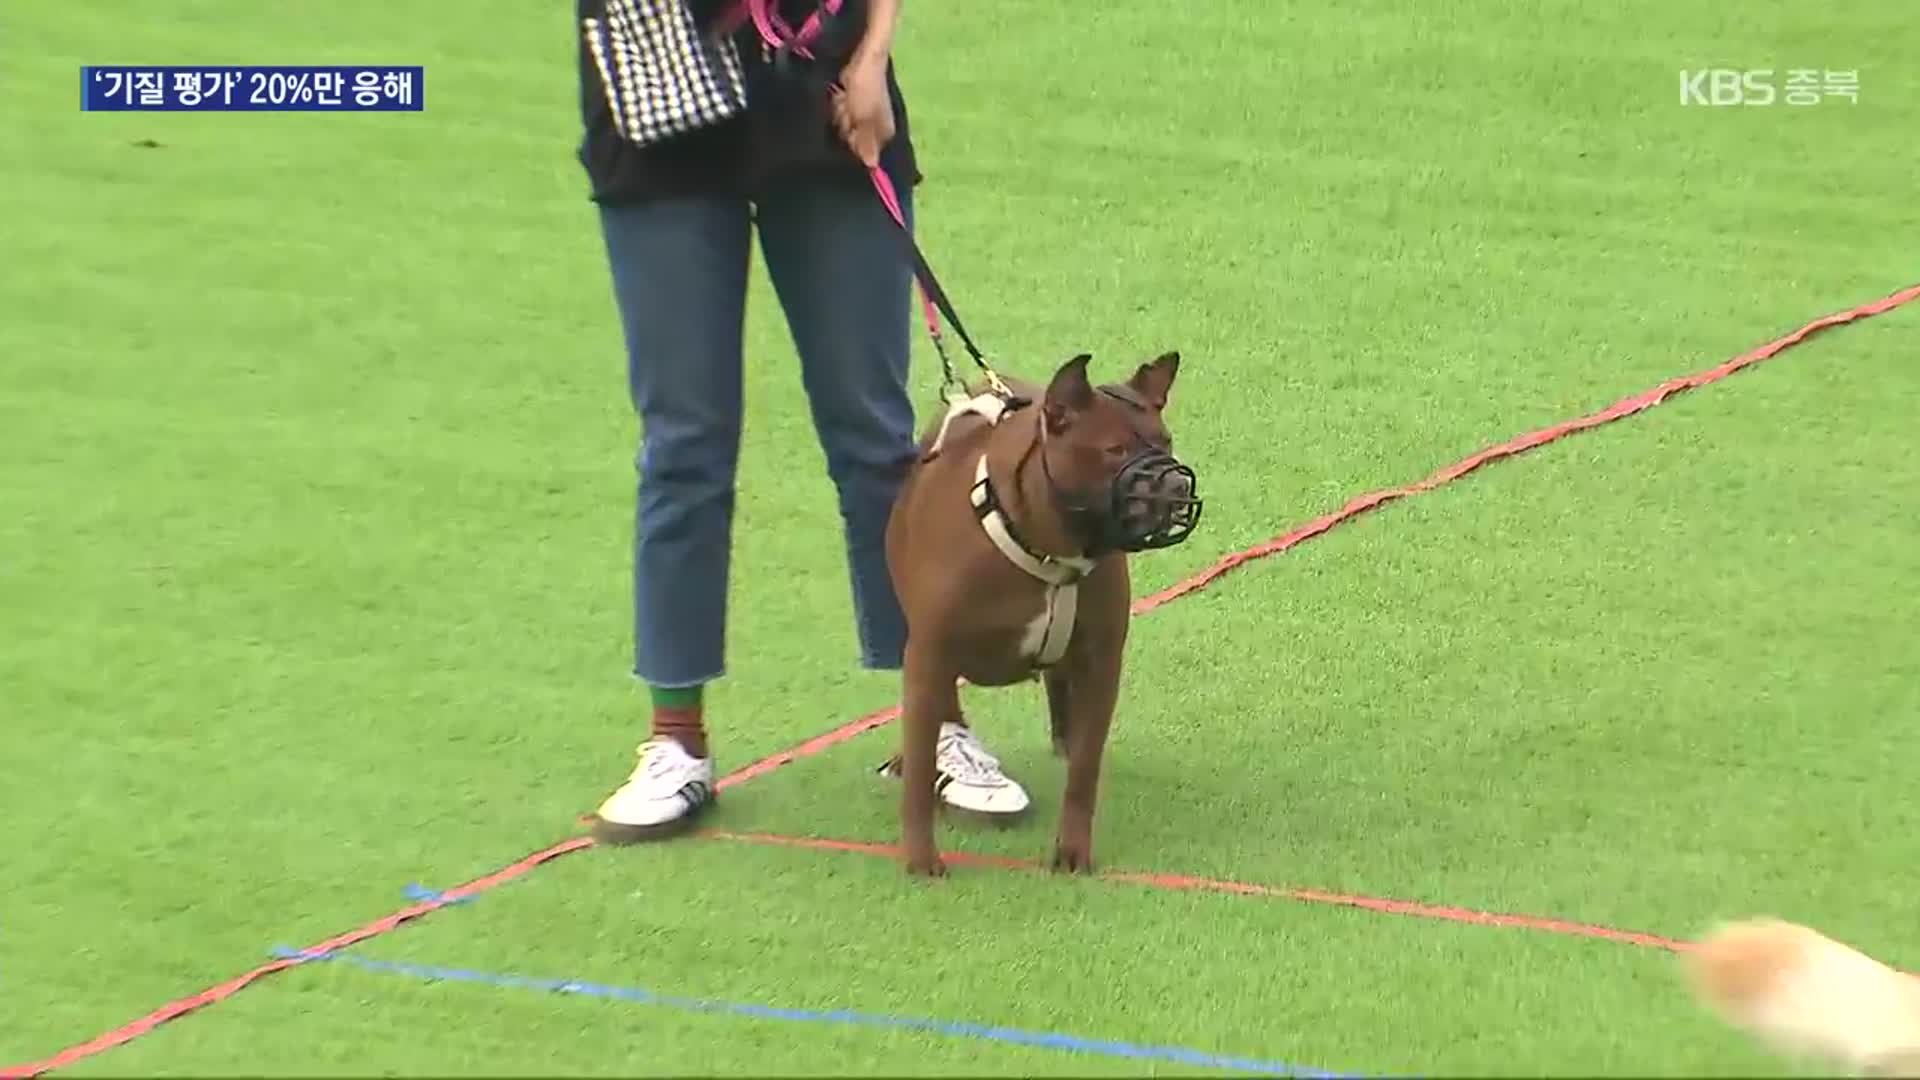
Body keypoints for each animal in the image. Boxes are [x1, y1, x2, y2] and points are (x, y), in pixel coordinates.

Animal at [883, 353, 1198, 876]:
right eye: (1114, 449)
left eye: (1165, 440)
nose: (1175, 483)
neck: (1049, 549)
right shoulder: (930, 657)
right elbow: (920, 774)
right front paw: (922, 858)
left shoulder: (1101, 662)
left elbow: (1085, 772)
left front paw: (1072, 850)